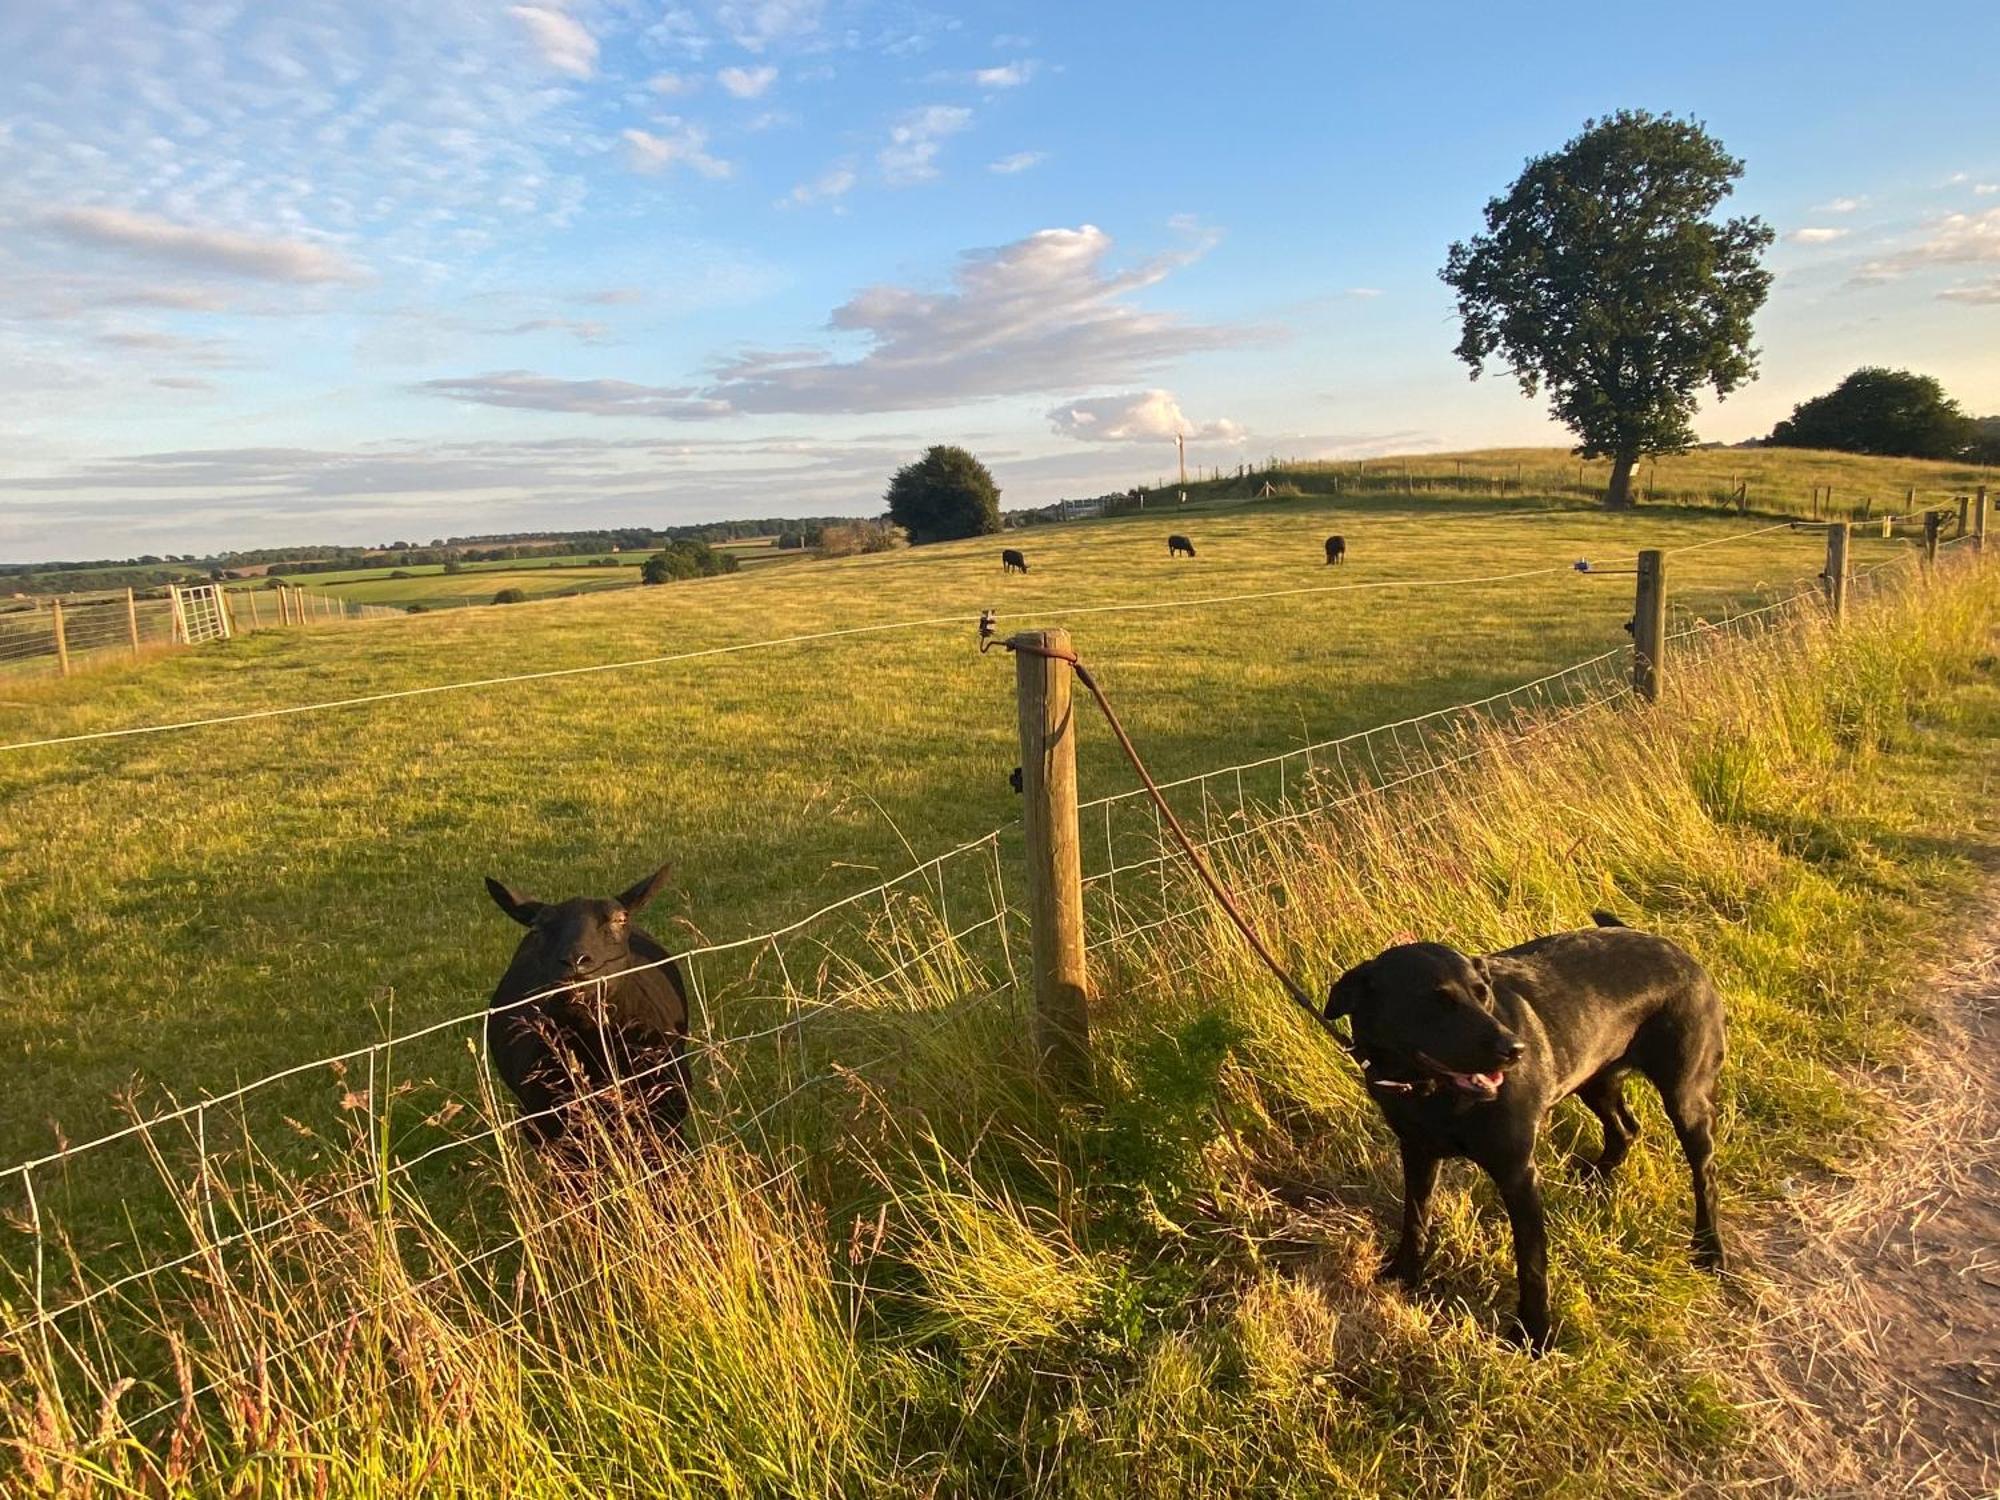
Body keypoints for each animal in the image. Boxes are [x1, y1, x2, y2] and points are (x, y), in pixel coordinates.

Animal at [1320, 912, 1728, 1360]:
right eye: (1436, 1001)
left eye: (1482, 994)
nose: (1515, 1049)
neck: (1430, 1092)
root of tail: (1674, 949)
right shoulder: (1417, 1151)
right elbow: (1415, 1220)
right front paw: (1403, 1275)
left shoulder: (1518, 1174)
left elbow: (1531, 1264)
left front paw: (1534, 1334)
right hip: (1595, 1080)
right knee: (1626, 1129)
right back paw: (1595, 1179)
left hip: (1685, 1097)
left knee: (1704, 1173)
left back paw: (1709, 1250)